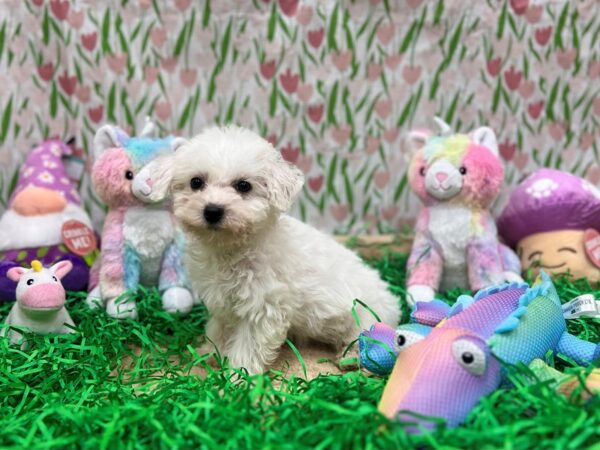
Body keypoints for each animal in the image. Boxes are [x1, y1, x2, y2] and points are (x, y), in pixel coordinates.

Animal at [146, 125, 398, 372]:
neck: (231, 249)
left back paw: (352, 357)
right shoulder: (223, 303)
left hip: (365, 317)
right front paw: (209, 352)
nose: (213, 210)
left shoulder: (263, 308)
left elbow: (247, 347)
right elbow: (218, 329)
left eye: (243, 186)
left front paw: (238, 377)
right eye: (196, 182)